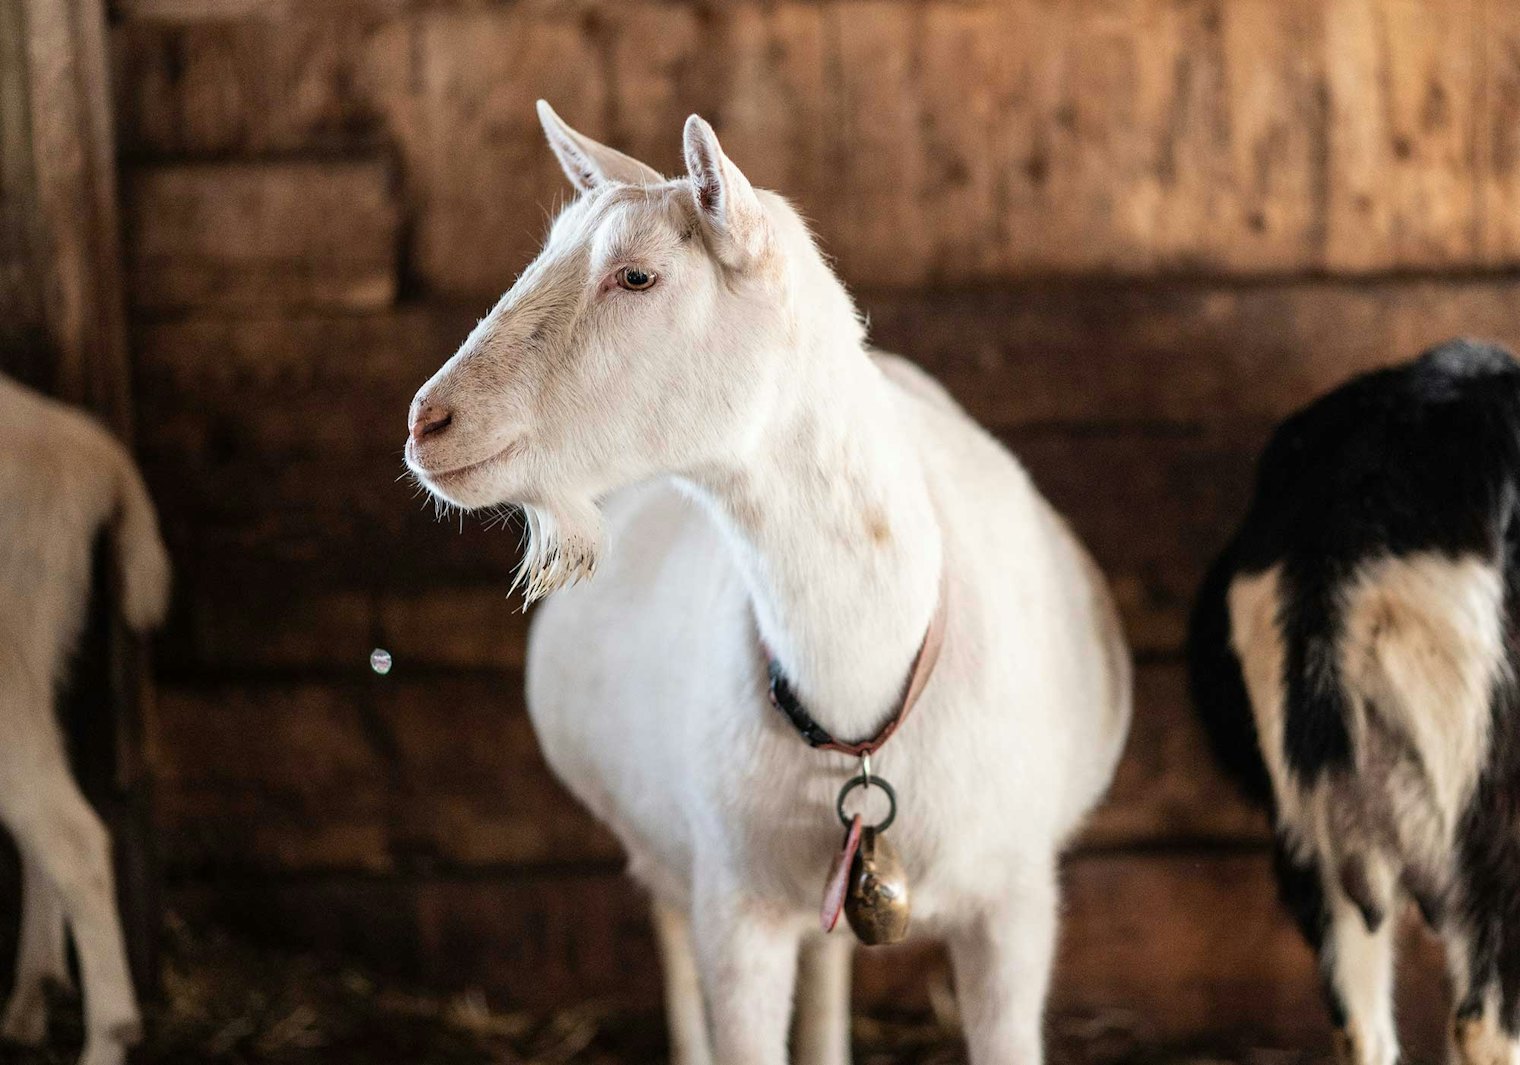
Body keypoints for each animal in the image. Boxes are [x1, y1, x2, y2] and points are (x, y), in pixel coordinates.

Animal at [404, 103, 1132, 1065]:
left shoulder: (1013, 903)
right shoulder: (734, 901)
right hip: (667, 851)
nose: (428, 422)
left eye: (637, 275)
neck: (859, 688)